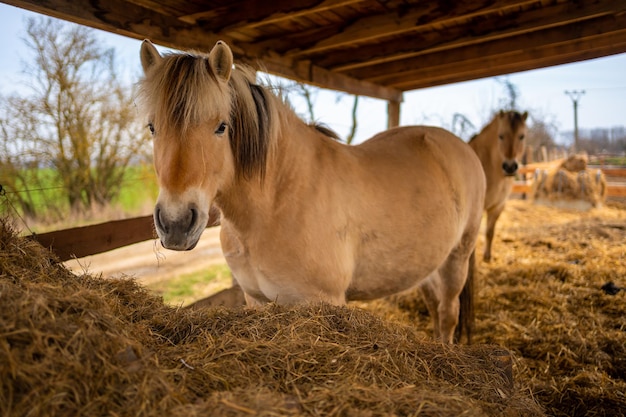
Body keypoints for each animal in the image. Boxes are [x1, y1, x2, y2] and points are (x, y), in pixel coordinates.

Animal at [139, 40, 486, 342]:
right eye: (152, 127)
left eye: (222, 127)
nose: (176, 223)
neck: (278, 201)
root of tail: (463, 149)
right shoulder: (255, 298)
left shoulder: (324, 301)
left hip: (457, 259)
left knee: (448, 313)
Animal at [468, 109, 528, 260]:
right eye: (500, 136)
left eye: (522, 136)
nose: (510, 167)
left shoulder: (498, 206)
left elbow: (490, 232)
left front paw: (487, 257)